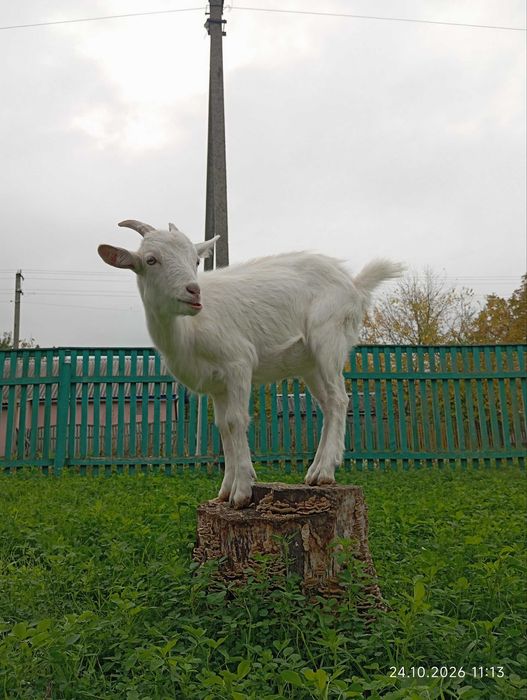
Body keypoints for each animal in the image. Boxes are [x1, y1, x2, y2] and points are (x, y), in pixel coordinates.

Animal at [98, 220, 403, 508]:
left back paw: (326, 471)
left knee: (339, 399)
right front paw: (224, 492)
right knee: (328, 404)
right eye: (151, 260)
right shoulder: (217, 385)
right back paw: (315, 472)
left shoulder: (238, 363)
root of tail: (355, 285)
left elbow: (237, 420)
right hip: (311, 364)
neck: (188, 329)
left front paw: (242, 491)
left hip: (328, 339)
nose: (194, 292)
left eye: (195, 260)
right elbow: (223, 426)